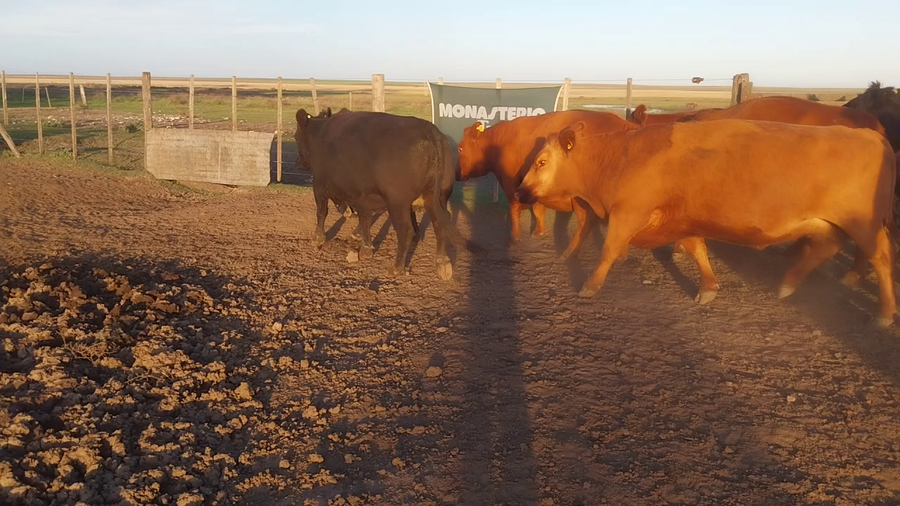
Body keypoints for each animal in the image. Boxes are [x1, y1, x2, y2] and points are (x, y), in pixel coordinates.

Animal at [294, 108, 481, 280]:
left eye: (296, 137)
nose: (298, 163)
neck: (321, 134)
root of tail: (428, 130)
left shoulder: (320, 183)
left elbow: (322, 211)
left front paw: (318, 238)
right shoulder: (362, 194)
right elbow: (364, 218)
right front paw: (365, 247)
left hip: (397, 203)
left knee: (406, 230)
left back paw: (397, 267)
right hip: (437, 196)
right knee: (439, 222)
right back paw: (442, 263)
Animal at [456, 110, 639, 259]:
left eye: (460, 149)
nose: (457, 174)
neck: (502, 141)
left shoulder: (511, 184)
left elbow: (514, 209)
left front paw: (515, 238)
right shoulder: (534, 187)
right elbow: (538, 209)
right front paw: (539, 232)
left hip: (581, 200)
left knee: (585, 222)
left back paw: (570, 252)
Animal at [516, 119, 897, 326]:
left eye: (541, 162)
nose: (519, 190)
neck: (620, 157)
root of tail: (872, 136)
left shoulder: (628, 213)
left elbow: (609, 249)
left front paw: (590, 285)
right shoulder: (684, 220)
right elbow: (697, 249)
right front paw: (709, 287)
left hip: (864, 226)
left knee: (880, 259)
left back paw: (884, 312)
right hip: (828, 224)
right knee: (826, 248)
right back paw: (788, 283)